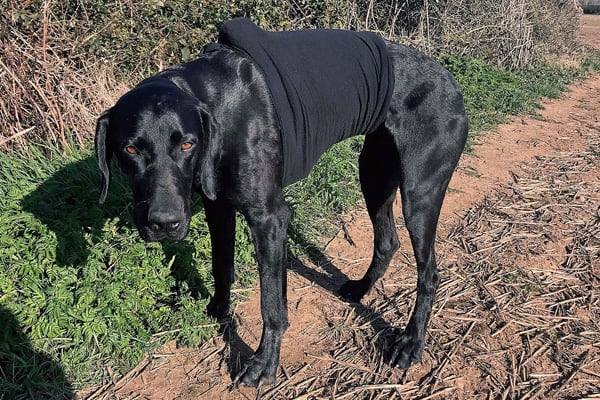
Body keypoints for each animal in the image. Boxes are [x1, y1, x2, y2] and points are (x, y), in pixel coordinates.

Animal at [94, 18, 468, 388]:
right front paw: (219, 310)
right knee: (388, 241)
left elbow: (271, 304)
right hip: (374, 173)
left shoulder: (269, 220)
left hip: (419, 193)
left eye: (186, 144)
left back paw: (411, 342)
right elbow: (221, 266)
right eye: (131, 149)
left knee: (429, 274)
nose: (164, 223)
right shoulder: (219, 207)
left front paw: (263, 364)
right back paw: (361, 288)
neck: (213, 103)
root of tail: (450, 79)